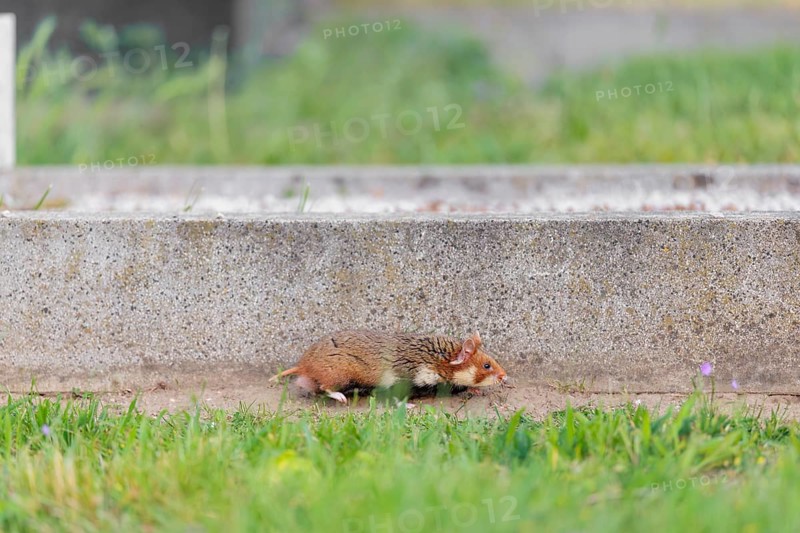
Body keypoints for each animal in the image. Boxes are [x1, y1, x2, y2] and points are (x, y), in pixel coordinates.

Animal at [270, 330, 508, 403]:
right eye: (487, 366)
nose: (506, 377)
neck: (438, 362)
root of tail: (303, 365)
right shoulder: (402, 380)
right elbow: (396, 398)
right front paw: (409, 407)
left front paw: (474, 390)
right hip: (340, 375)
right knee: (325, 387)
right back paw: (342, 398)